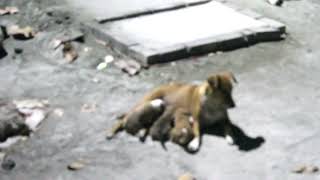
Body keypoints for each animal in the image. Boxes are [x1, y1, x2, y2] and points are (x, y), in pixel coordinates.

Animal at [107, 71, 238, 152]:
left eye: (231, 91)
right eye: (224, 92)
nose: (234, 105)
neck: (213, 105)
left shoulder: (225, 119)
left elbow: (229, 128)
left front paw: (230, 137)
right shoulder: (196, 120)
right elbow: (197, 132)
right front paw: (194, 143)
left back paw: (142, 131)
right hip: (146, 101)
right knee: (123, 120)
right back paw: (111, 132)